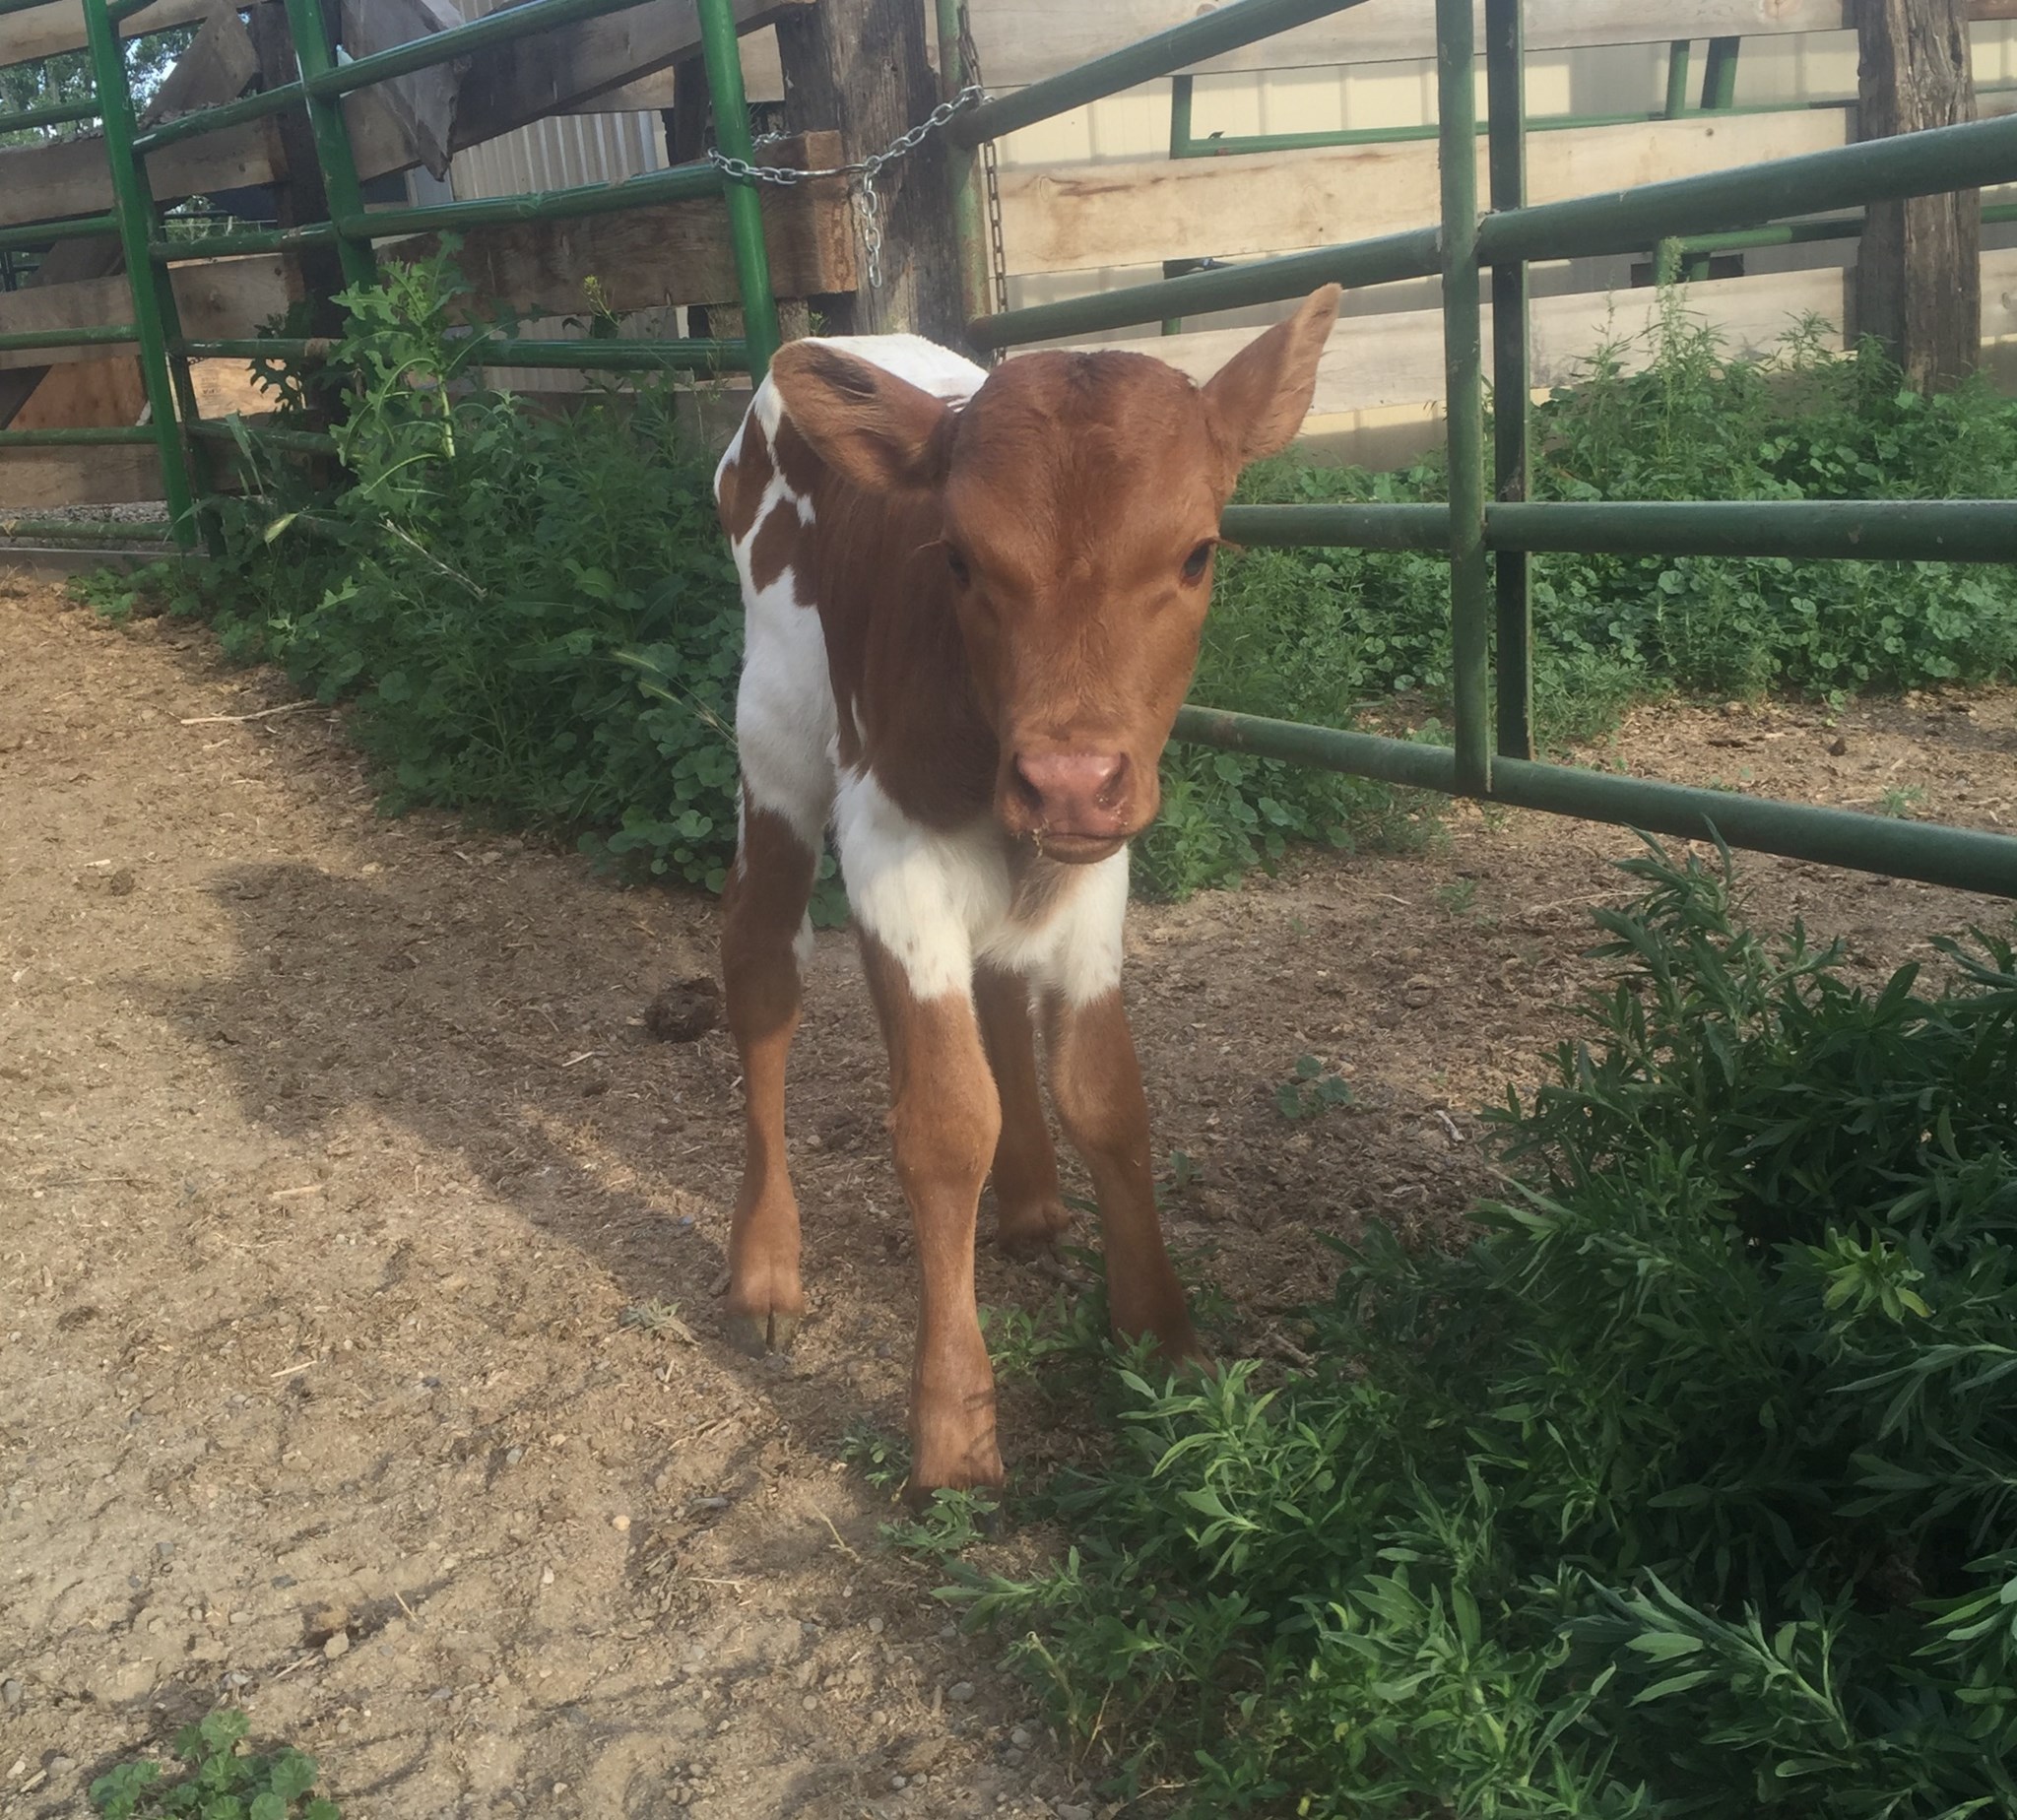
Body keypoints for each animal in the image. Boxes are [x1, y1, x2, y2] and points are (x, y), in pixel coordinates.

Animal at [711, 285, 1342, 1497]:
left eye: (1197, 554)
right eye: (957, 559)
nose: (1067, 777)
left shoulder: (1100, 867)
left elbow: (1105, 1093)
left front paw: (1166, 1345)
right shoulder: (890, 850)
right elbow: (945, 1118)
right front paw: (952, 1424)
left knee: (999, 983)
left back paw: (1032, 1200)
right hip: (775, 731)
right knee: (761, 968)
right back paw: (764, 1264)